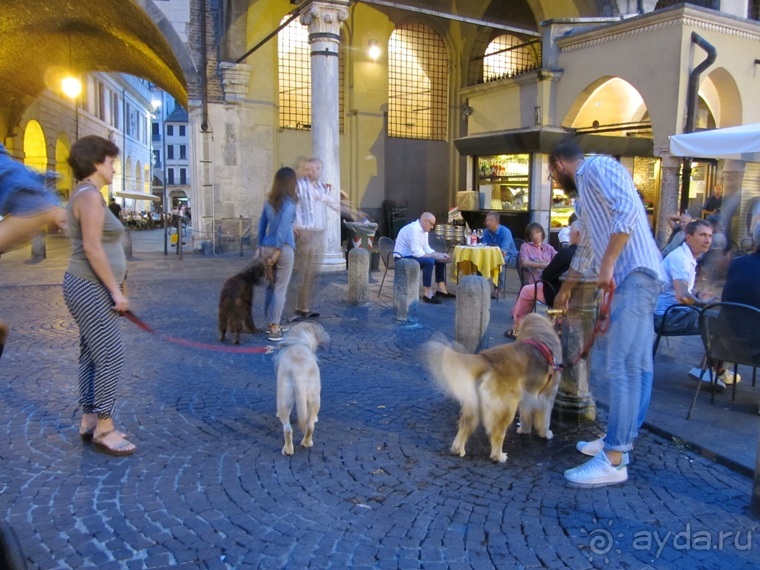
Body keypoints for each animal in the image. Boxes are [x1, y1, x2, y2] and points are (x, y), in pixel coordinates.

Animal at [274, 322, 332, 454]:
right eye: (321, 330)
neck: (297, 341)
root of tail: (298, 370)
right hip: (314, 398)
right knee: (309, 426)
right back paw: (306, 443)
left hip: (283, 400)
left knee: (287, 428)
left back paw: (288, 450)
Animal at [424, 310, 560, 462]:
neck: (539, 336)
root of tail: (486, 358)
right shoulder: (548, 396)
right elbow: (545, 419)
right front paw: (545, 433)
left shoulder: (528, 397)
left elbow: (526, 416)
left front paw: (524, 430)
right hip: (506, 408)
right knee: (497, 434)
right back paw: (499, 456)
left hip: (473, 405)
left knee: (465, 426)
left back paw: (458, 449)